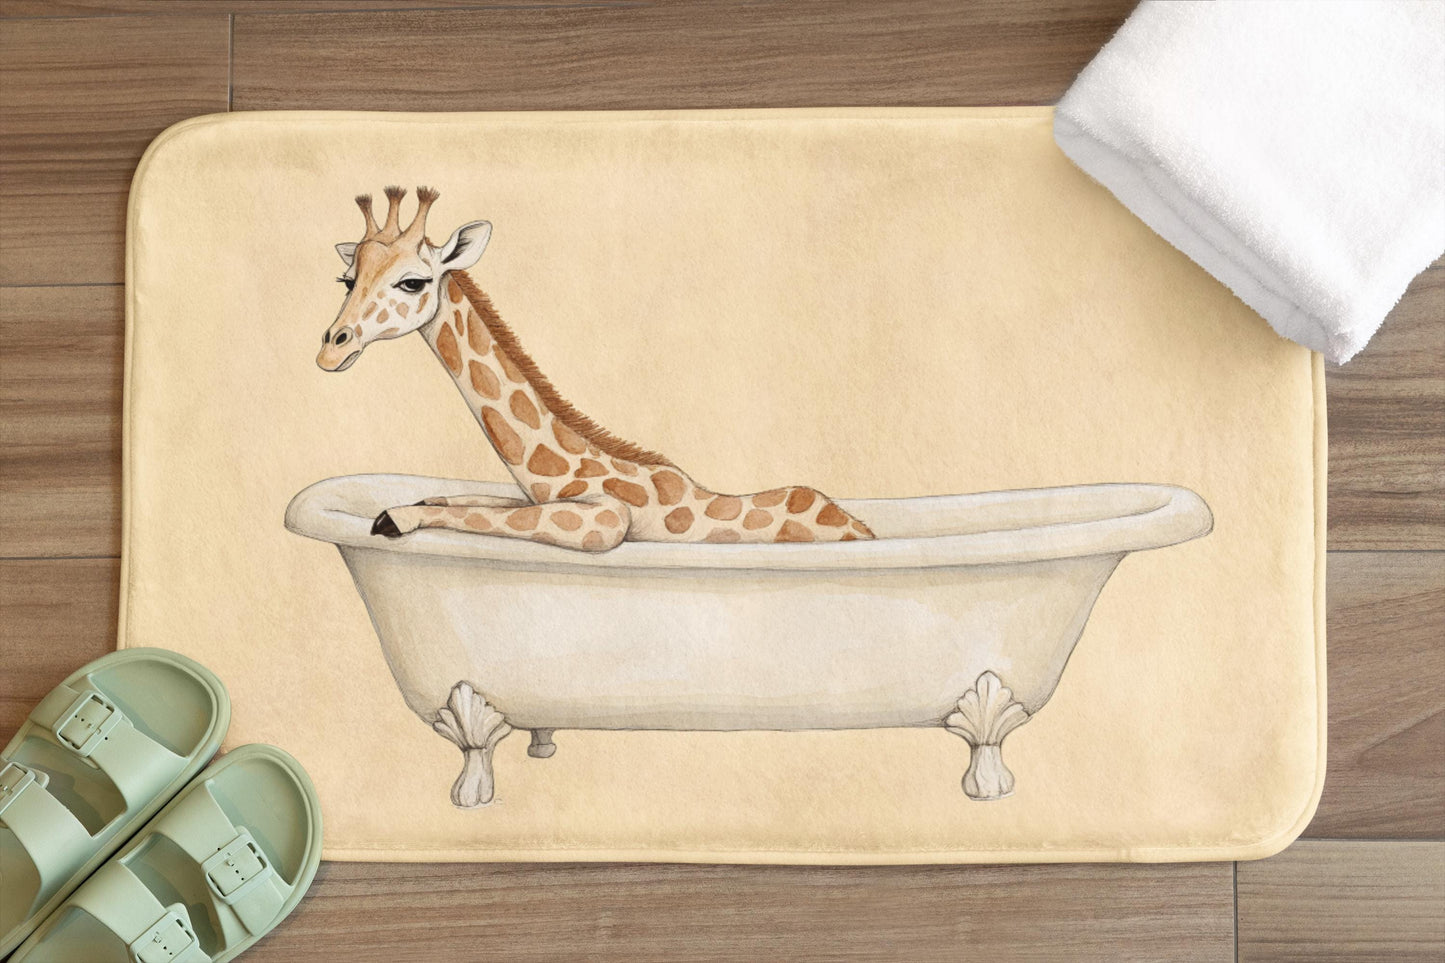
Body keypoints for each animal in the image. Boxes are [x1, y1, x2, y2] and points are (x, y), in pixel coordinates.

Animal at [316, 186, 875, 553]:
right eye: (348, 280)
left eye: (413, 282)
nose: (330, 351)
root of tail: (861, 528)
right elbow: (467, 497)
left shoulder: (606, 521)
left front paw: (394, 517)